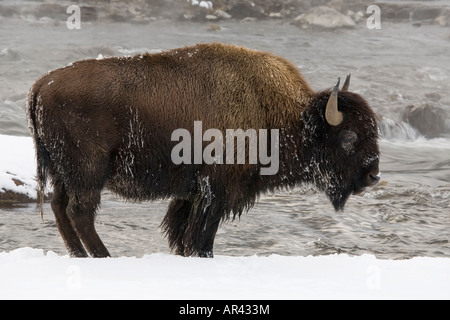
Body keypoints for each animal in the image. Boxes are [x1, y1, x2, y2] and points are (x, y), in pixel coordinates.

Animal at [27, 43, 380, 258]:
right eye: (349, 135)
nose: (373, 176)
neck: (278, 113)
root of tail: (42, 84)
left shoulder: (192, 195)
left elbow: (184, 236)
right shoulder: (214, 194)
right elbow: (200, 239)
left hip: (63, 173)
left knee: (60, 208)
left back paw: (81, 255)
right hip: (88, 173)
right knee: (80, 212)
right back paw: (105, 256)